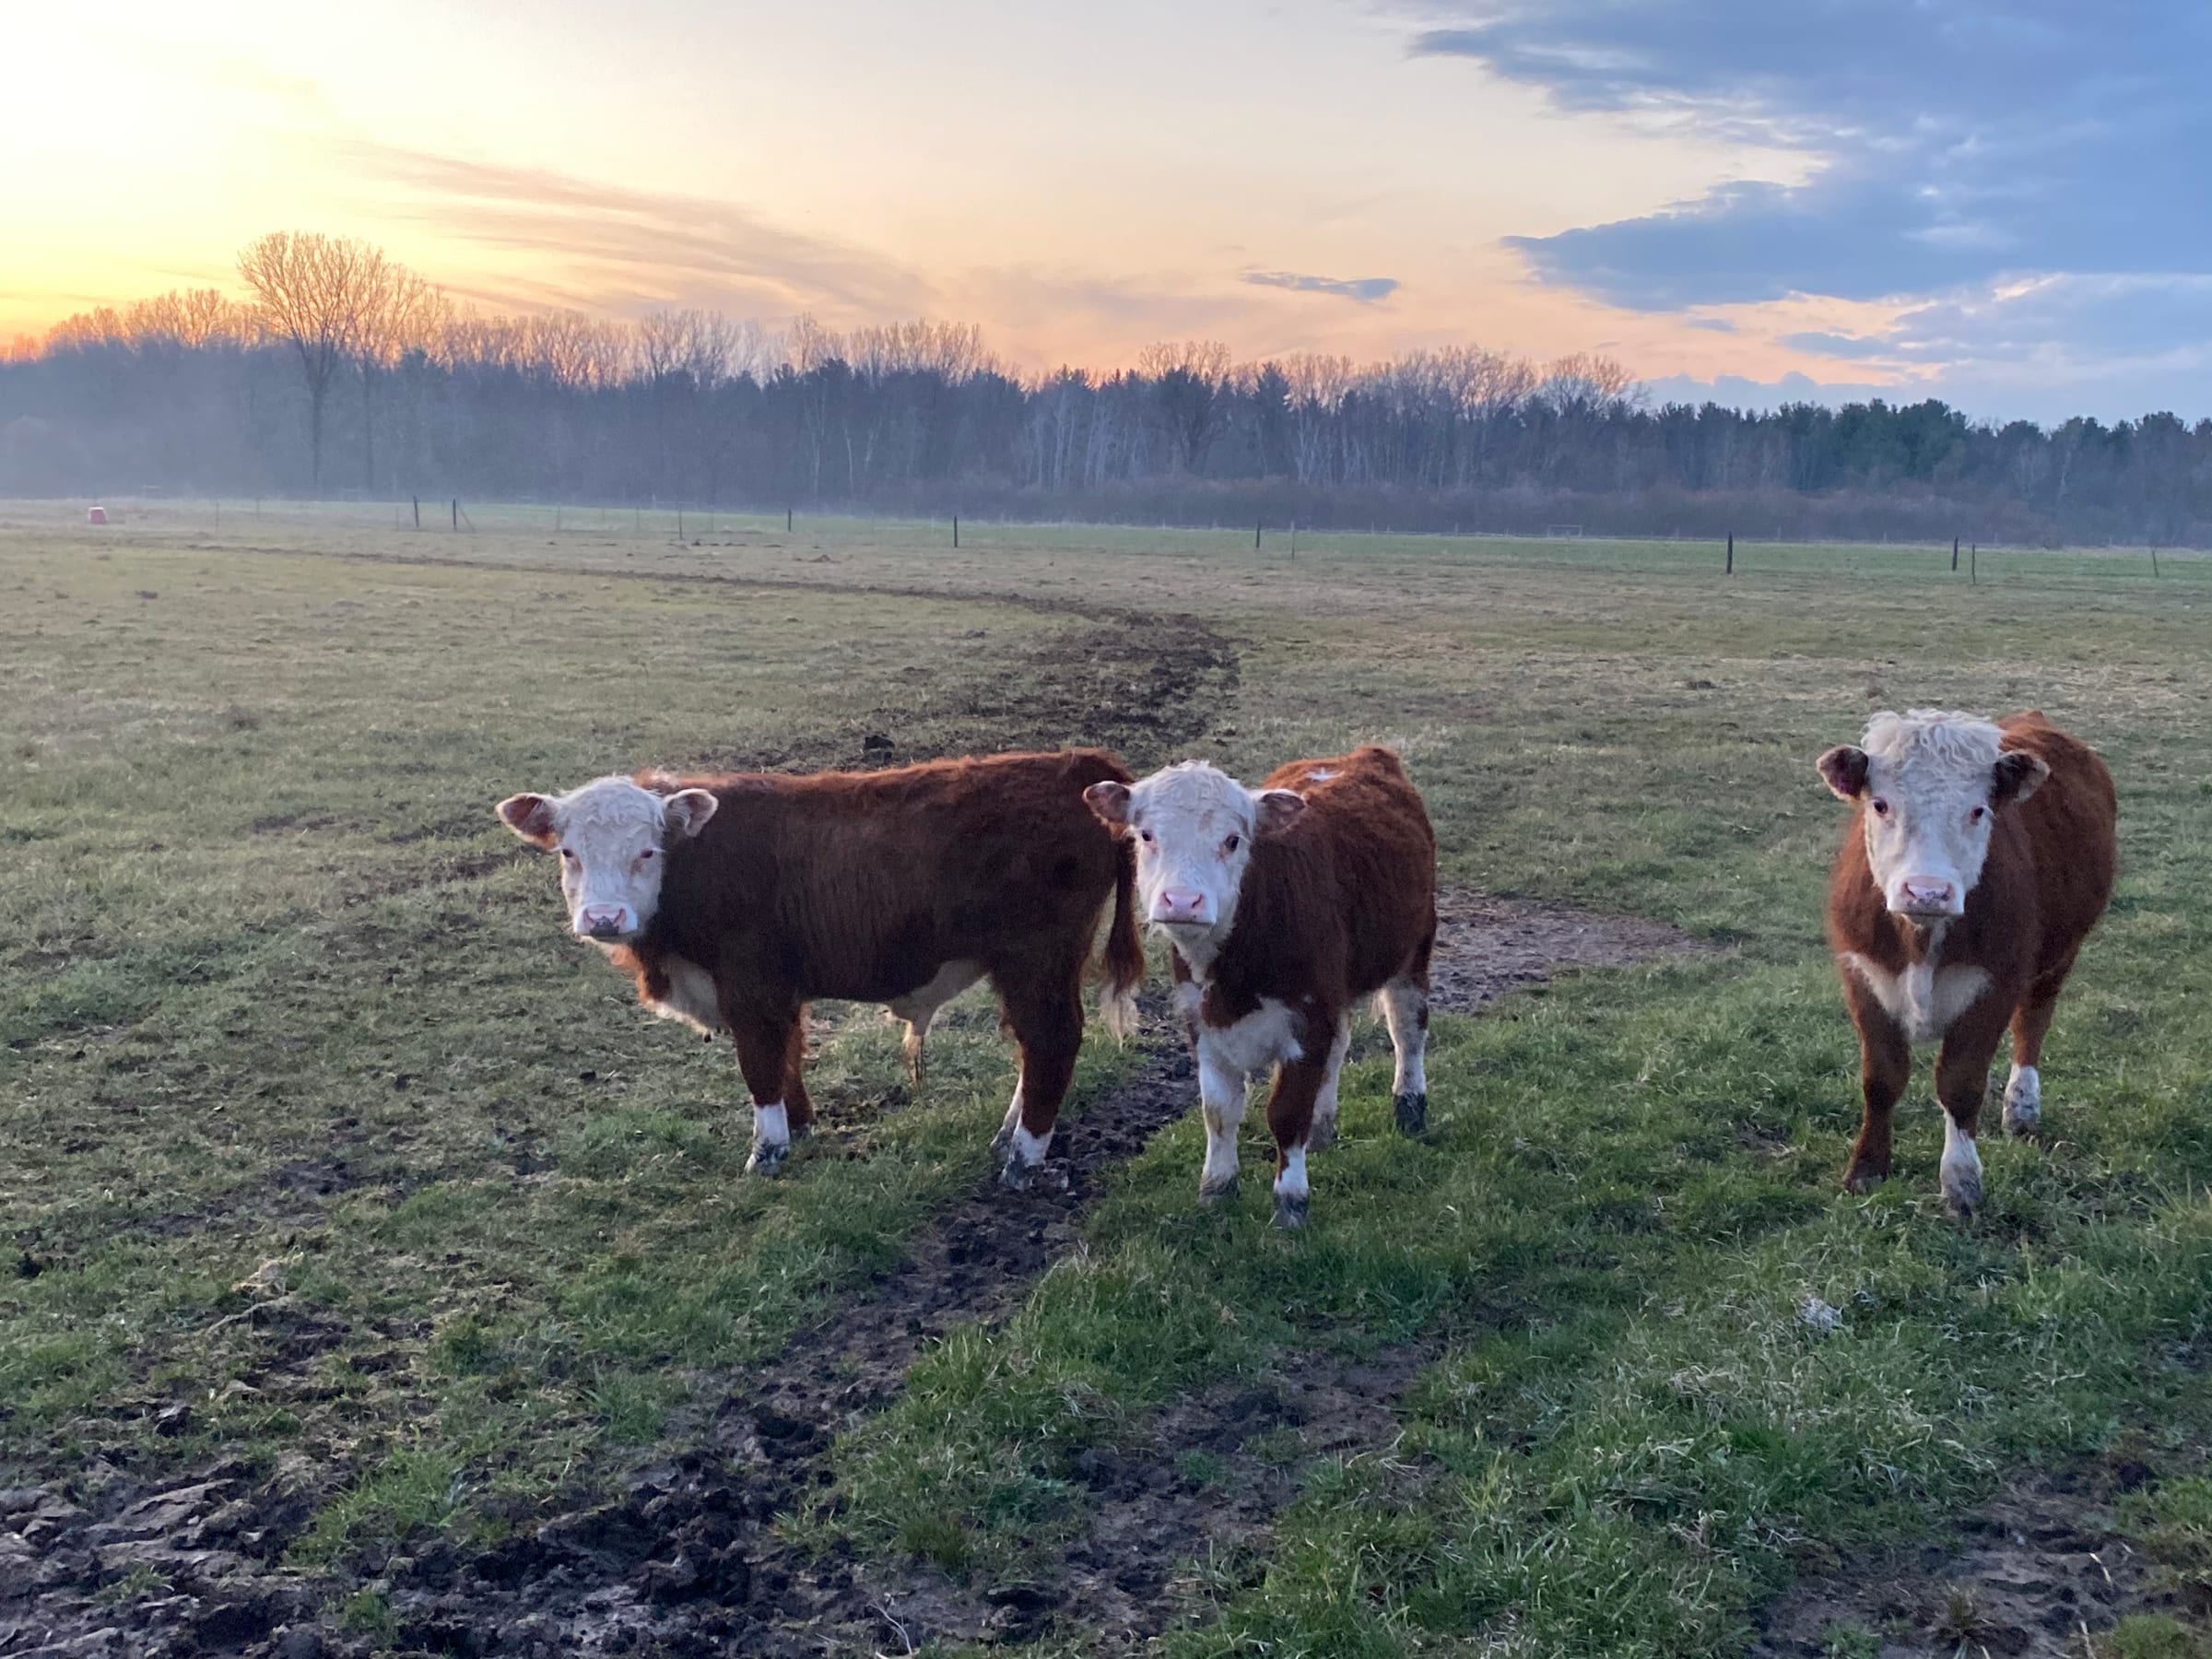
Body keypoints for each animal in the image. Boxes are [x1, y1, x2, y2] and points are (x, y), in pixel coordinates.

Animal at [495, 750, 1144, 1182]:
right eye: (569, 853)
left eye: (647, 851)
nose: (604, 918)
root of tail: (1072, 764)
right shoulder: (779, 986)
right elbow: (788, 1056)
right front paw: (800, 1126)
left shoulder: (749, 985)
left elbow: (760, 1066)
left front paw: (767, 1152)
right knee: (1033, 1048)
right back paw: (1009, 1137)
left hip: (1038, 960)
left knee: (1052, 1041)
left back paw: (1025, 1157)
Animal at [1084, 744, 1437, 1228]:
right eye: (1146, 834)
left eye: (1233, 840)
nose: (1182, 901)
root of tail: (1361, 754)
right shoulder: (1202, 1022)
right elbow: (1219, 1111)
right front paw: (1216, 1189)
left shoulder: (1307, 1019)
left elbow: (1286, 1112)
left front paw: (1291, 1202)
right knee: (1341, 1047)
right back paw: (1323, 1127)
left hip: (1414, 950)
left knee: (1408, 1030)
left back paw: (1409, 1106)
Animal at [1815, 709, 2116, 1215]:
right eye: (1880, 804)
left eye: (1978, 810)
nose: (1927, 891)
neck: (1920, 940)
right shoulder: (1861, 977)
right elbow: (1881, 1080)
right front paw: (1866, 1169)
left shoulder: (1994, 985)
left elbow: (1960, 1085)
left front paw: (1960, 1182)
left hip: (2060, 954)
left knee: (2032, 1023)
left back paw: (2022, 1107)